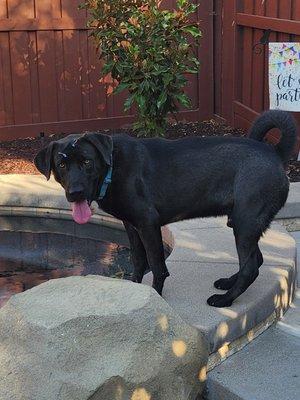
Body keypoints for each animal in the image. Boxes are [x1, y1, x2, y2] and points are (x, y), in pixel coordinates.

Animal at [34, 111, 296, 308]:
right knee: (256, 260)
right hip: (244, 224)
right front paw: (135, 289)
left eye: (87, 162)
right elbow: (138, 260)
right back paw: (228, 283)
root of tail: (274, 153)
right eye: (61, 164)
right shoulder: (131, 226)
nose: (75, 193)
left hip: (245, 222)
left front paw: (156, 298)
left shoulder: (148, 224)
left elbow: (157, 266)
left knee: (250, 267)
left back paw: (225, 299)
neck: (112, 167)